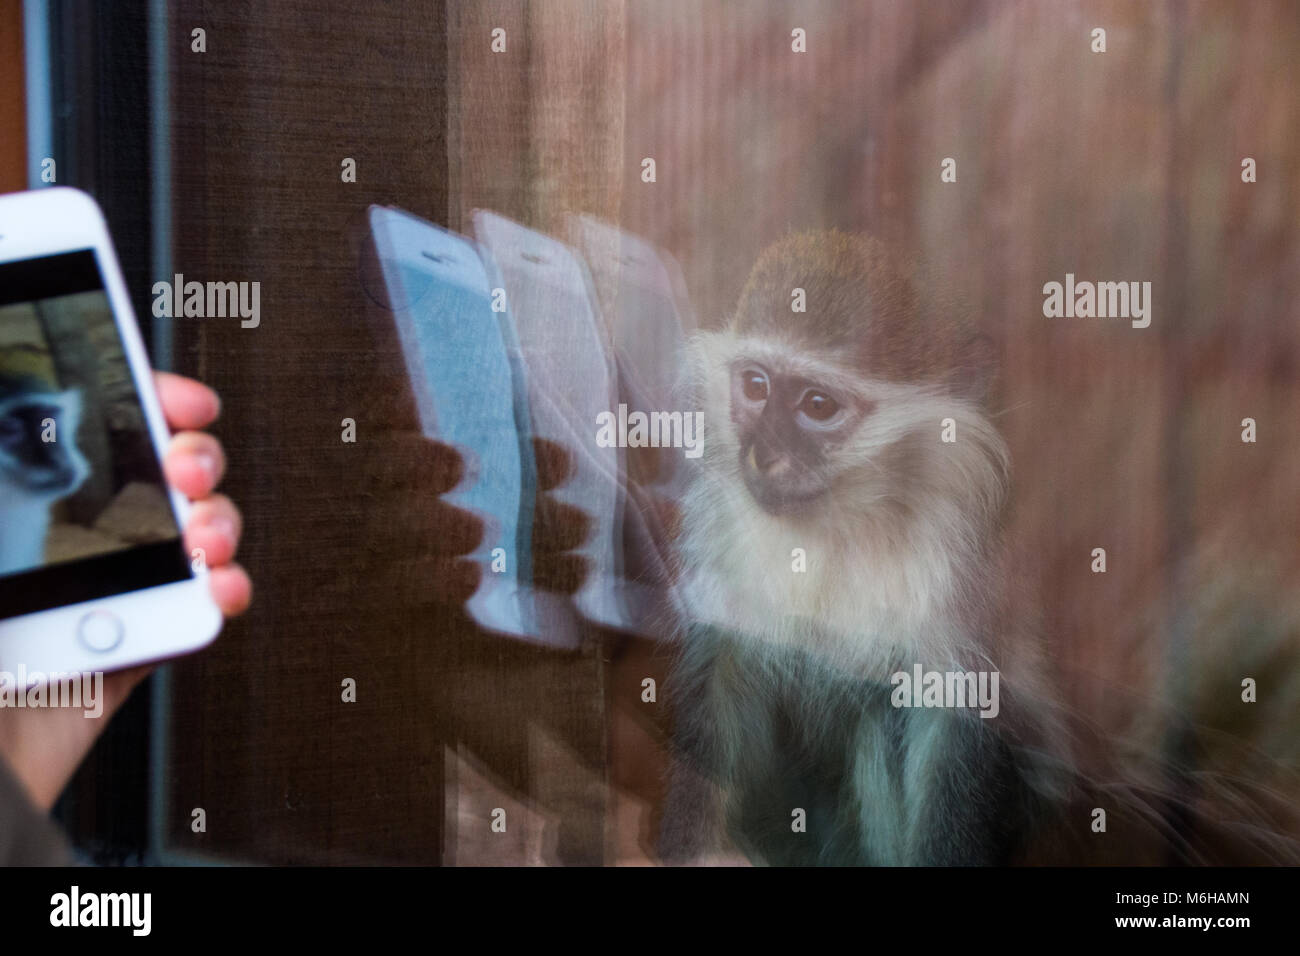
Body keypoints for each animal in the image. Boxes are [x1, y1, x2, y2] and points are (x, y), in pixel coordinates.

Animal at [655, 231, 1071, 868]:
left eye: (817, 406)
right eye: (755, 386)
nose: (762, 454)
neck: (839, 524)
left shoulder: (960, 564)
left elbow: (957, 711)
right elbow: (725, 661)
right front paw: (694, 848)